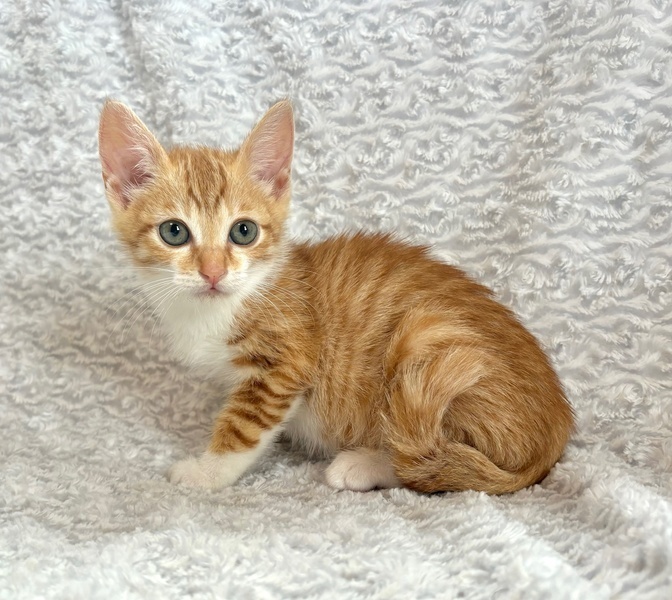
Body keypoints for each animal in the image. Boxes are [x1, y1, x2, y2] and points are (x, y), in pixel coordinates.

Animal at [98, 99, 574, 494]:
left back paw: (363, 465)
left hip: (427, 338)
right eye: (174, 232)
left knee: (434, 461)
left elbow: (243, 427)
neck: (222, 305)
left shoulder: (285, 362)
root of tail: (554, 435)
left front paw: (206, 472)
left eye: (243, 231)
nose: (213, 272)